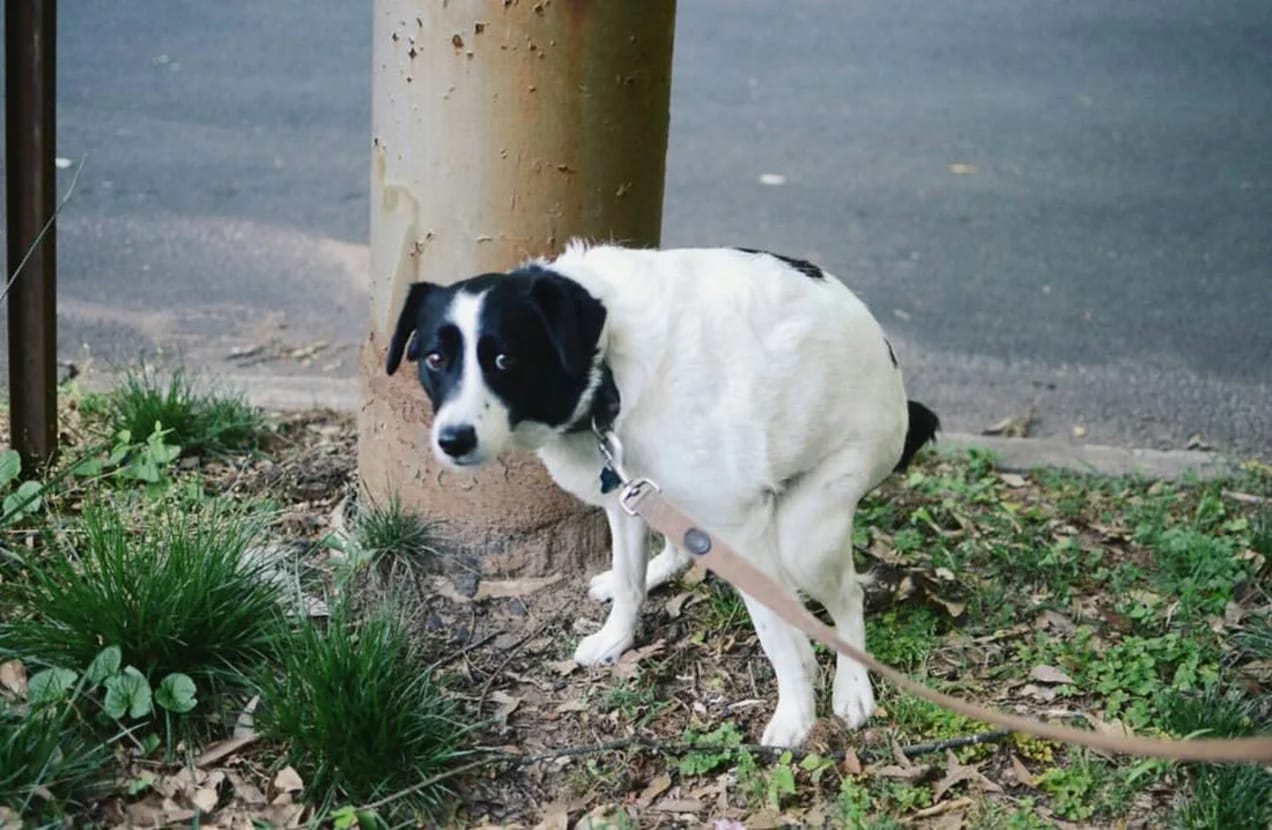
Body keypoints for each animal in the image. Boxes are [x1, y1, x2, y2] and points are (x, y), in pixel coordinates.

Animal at [381, 242, 941, 747]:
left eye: (505, 359)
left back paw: (853, 686)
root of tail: (894, 373)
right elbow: (632, 584)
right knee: (684, 551)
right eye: (435, 359)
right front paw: (616, 636)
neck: (608, 367)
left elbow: (776, 633)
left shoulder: (741, 528)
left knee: (847, 596)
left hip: (811, 530)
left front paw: (797, 714)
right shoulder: (623, 496)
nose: (453, 440)